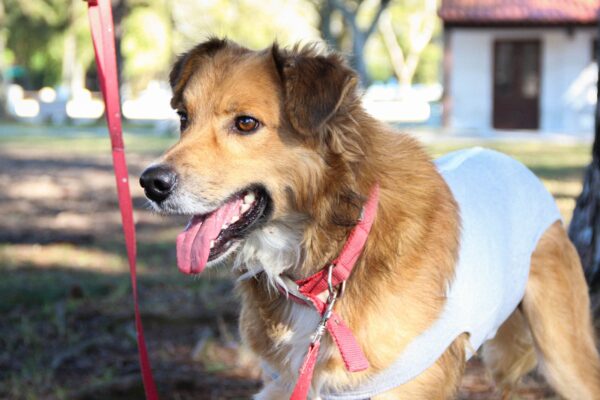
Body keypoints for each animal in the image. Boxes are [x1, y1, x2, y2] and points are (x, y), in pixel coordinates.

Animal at [141, 38, 600, 400]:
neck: (335, 253)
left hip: (564, 353)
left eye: (246, 123)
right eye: (183, 119)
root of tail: (511, 161)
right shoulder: (285, 384)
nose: (150, 183)